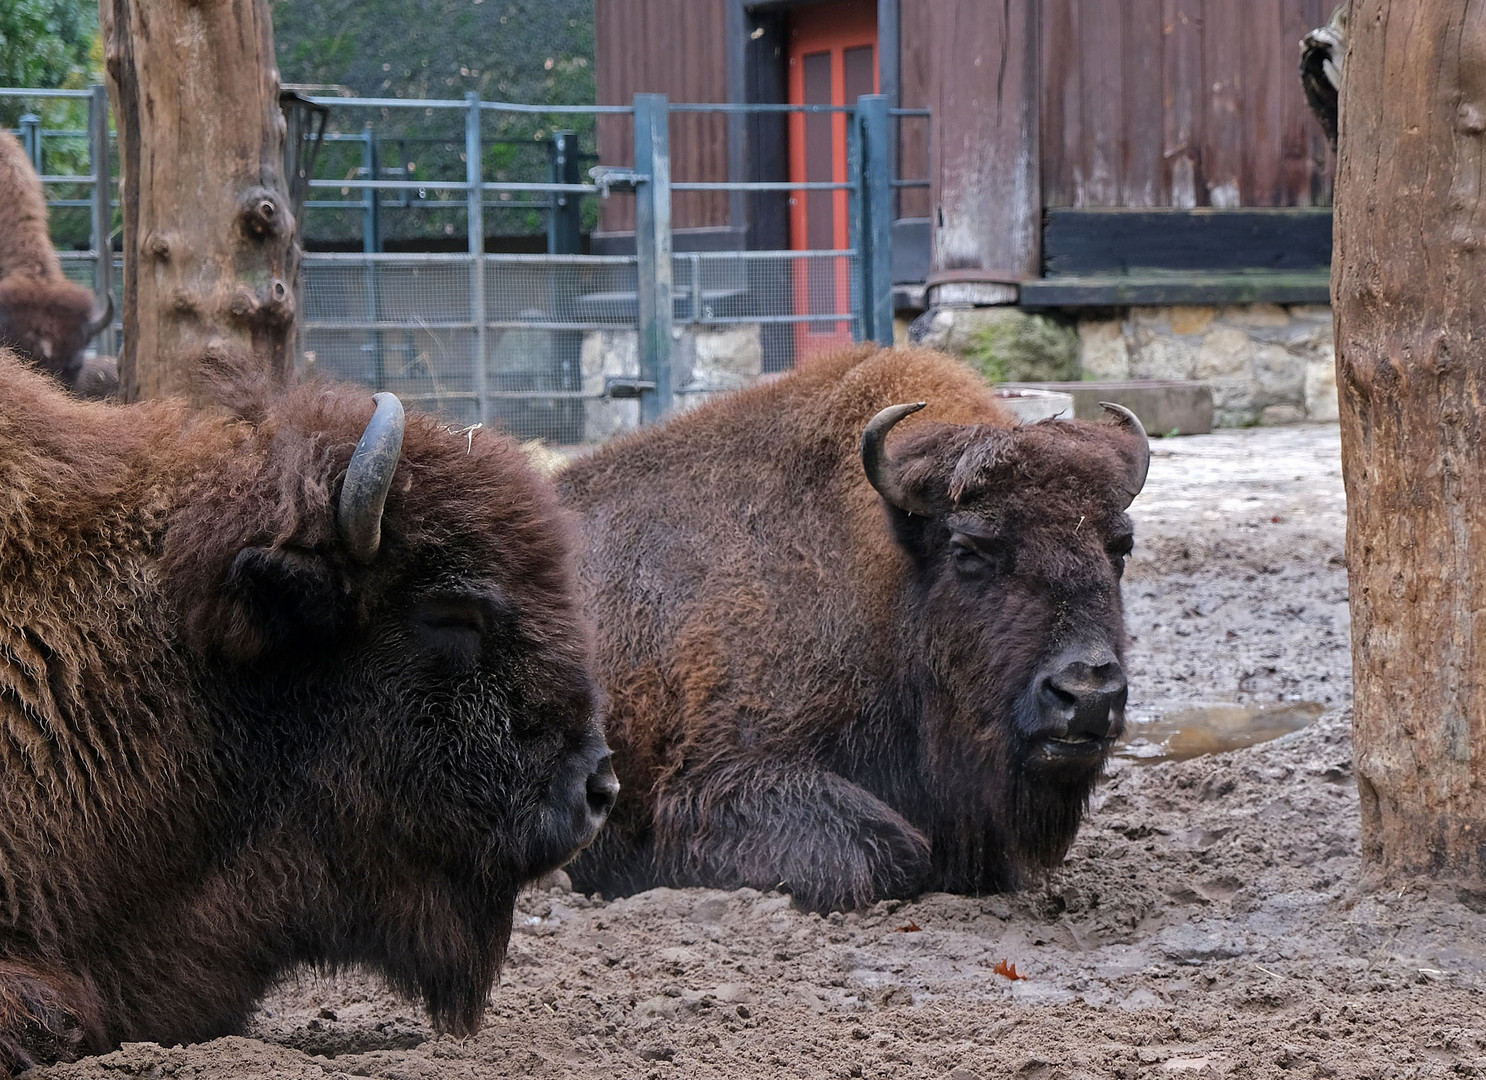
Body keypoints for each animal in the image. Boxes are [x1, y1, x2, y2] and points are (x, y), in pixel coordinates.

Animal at [558, 346, 1147, 915]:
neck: (884, 578)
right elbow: (896, 854)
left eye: (1120, 548)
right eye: (966, 550)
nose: (1088, 692)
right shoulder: (720, 778)